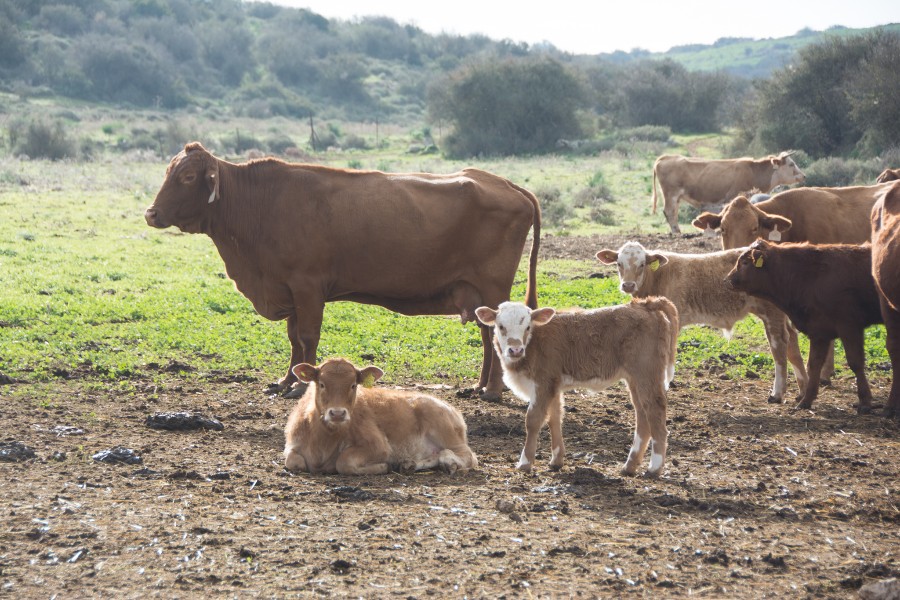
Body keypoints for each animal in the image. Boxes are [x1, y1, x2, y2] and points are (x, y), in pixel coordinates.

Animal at [146, 142, 540, 398]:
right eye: (167, 171)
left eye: (188, 176)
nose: (151, 213)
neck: (260, 202)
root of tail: (505, 184)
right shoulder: (290, 289)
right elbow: (293, 339)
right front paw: (285, 381)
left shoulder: (307, 286)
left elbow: (307, 337)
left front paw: (301, 385)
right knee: (487, 336)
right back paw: (479, 386)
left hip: (492, 287)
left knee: (495, 335)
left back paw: (492, 390)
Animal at [284, 358, 478, 476]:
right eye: (322, 384)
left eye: (353, 385)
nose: (337, 413)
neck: (324, 440)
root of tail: (454, 410)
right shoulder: (292, 445)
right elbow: (293, 462)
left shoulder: (379, 446)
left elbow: (344, 462)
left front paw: (383, 466)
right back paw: (410, 464)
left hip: (446, 430)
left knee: (468, 455)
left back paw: (449, 462)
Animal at [474, 300, 680, 478]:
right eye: (501, 326)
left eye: (527, 327)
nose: (515, 350)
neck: (533, 343)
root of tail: (645, 304)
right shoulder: (554, 385)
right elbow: (555, 418)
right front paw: (556, 461)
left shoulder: (543, 383)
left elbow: (533, 420)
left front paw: (525, 462)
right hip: (635, 380)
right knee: (642, 416)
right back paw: (629, 466)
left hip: (647, 374)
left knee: (655, 413)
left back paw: (654, 468)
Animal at [652, 151, 804, 233]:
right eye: (791, 164)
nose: (803, 175)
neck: (754, 171)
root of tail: (666, 157)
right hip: (671, 195)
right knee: (670, 212)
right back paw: (677, 232)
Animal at [728, 239, 884, 412]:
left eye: (745, 262)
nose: (728, 279)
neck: (808, 275)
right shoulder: (819, 330)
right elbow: (813, 365)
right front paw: (806, 401)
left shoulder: (849, 326)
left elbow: (855, 362)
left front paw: (865, 401)